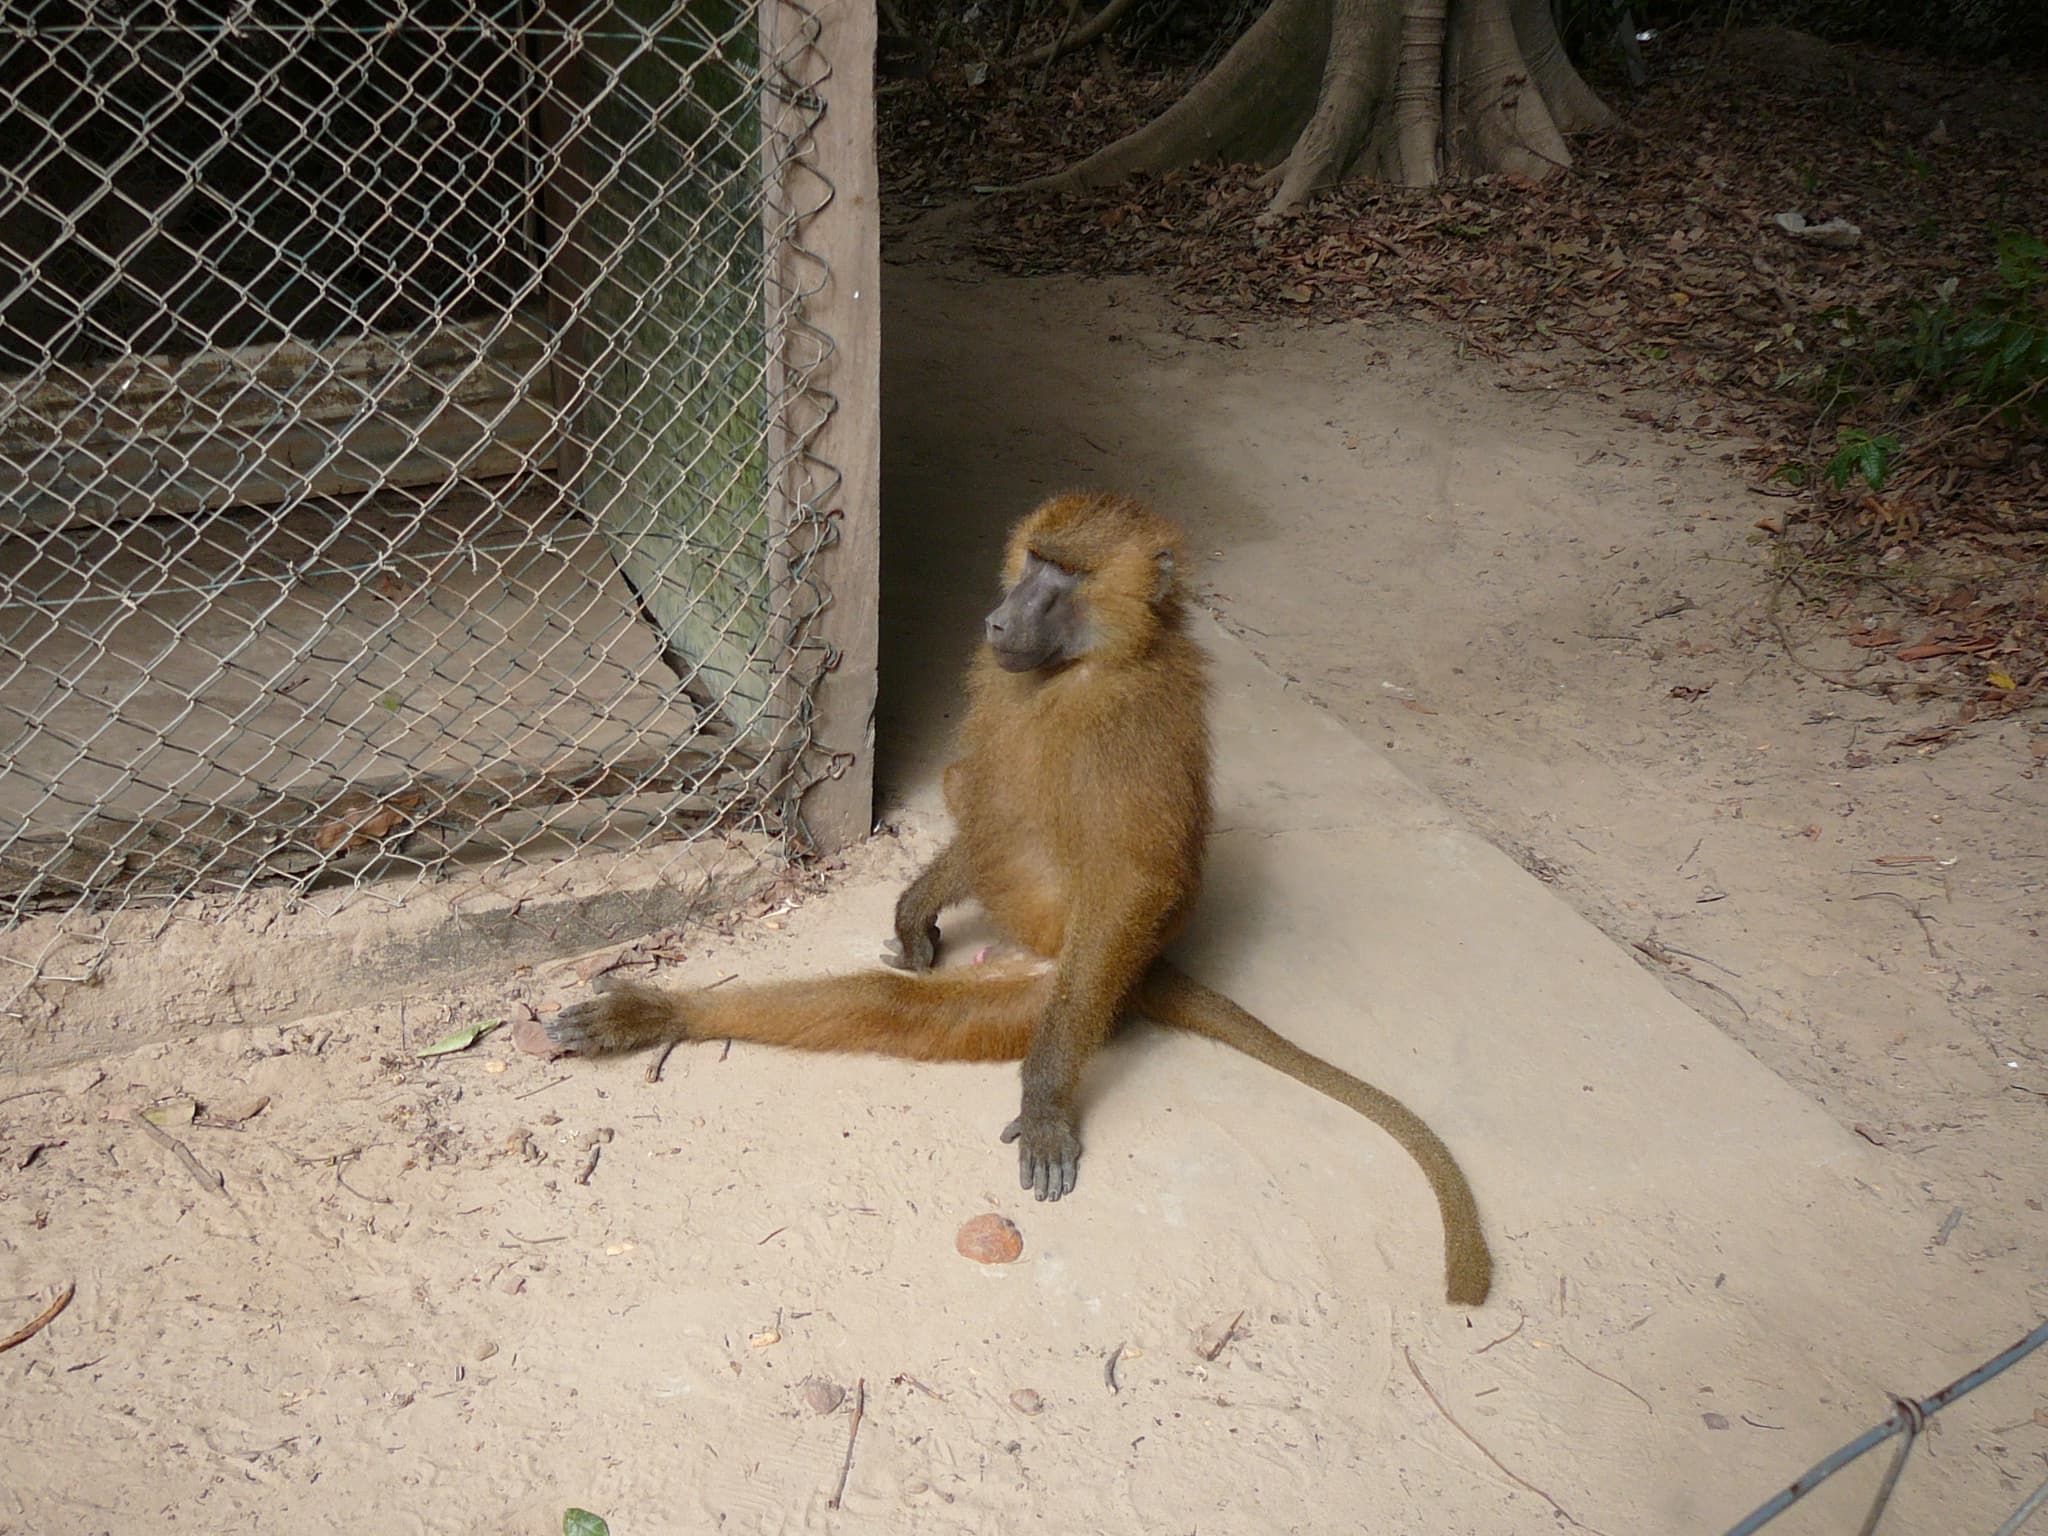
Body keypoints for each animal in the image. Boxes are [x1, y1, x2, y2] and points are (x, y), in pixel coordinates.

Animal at [548, 492, 1493, 1306]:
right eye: (1032, 560)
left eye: (1064, 579)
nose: (998, 620)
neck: (1092, 663)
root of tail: (1145, 975)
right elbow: (991, 798)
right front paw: (914, 915)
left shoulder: (1124, 723)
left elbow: (1128, 875)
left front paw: (1042, 1104)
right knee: (952, 854)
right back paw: (657, 1014)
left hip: (1063, 991)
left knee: (928, 989)